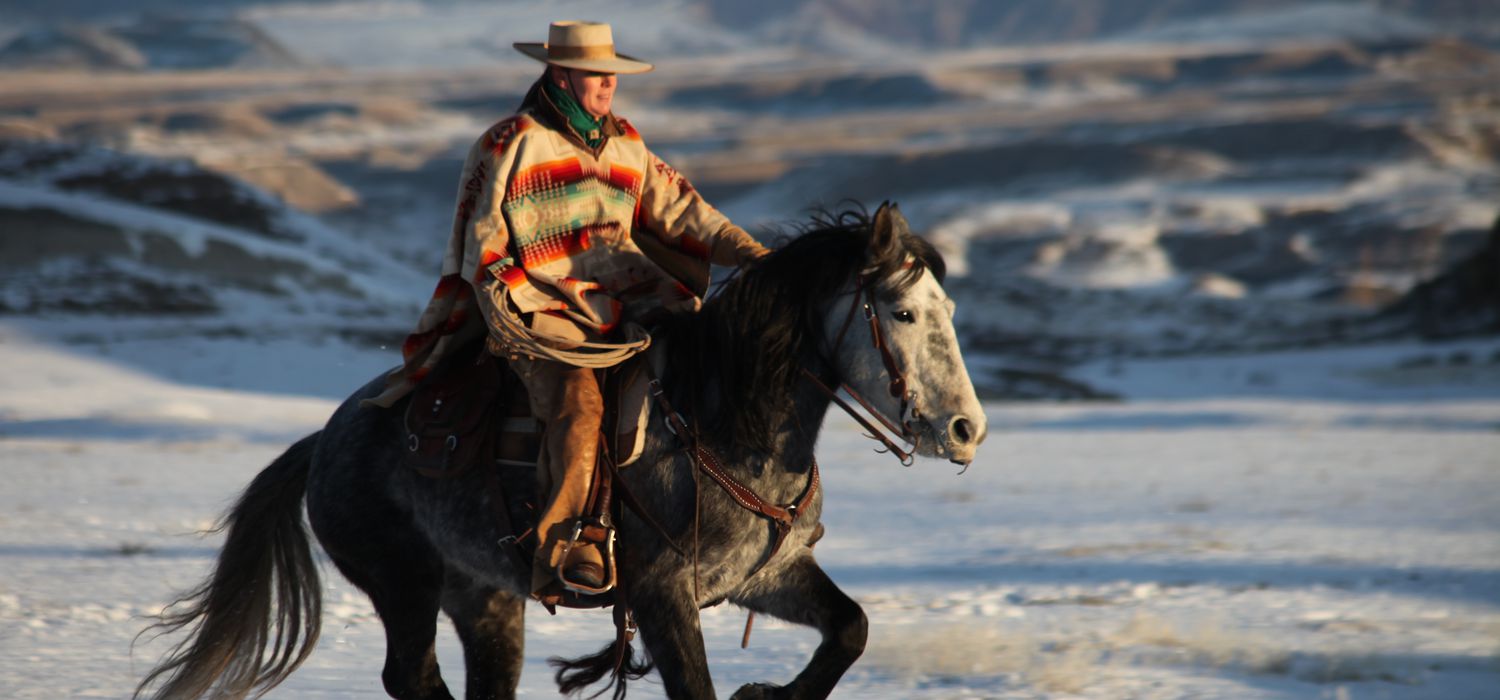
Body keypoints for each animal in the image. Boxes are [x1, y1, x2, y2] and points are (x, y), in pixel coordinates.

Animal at [138, 203, 984, 700]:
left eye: (946, 306)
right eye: (902, 312)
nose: (965, 430)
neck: (724, 424)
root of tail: (327, 439)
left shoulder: (765, 577)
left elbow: (851, 628)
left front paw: (767, 694)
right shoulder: (662, 595)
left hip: (483, 598)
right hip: (402, 581)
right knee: (411, 677)